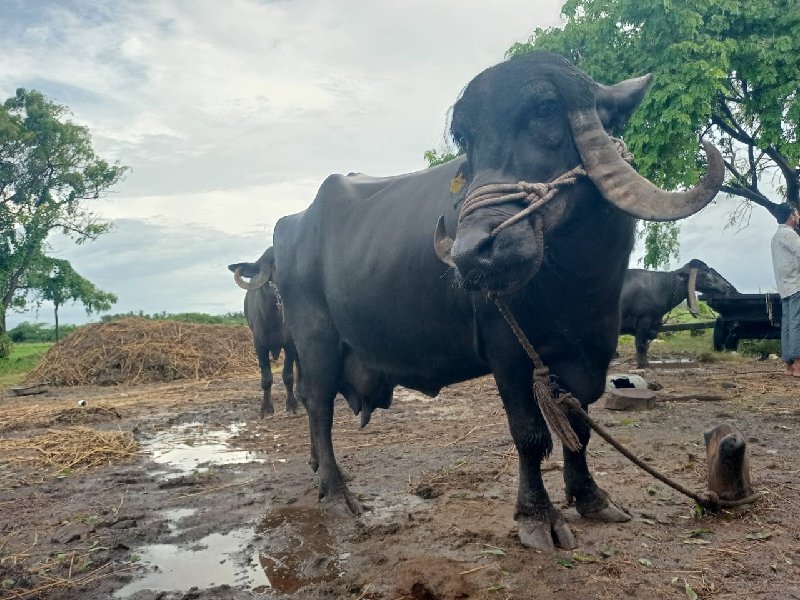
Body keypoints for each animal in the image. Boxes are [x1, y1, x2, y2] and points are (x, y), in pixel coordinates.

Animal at [227, 247, 302, 418]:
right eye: (272, 263)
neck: (273, 318)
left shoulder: (290, 344)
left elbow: (288, 375)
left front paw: (292, 405)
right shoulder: (259, 346)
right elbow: (266, 378)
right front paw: (266, 409)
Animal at [270, 50, 724, 548]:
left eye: (546, 109)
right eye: (466, 137)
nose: (472, 254)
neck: (575, 282)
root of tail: (290, 227)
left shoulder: (591, 349)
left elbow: (578, 428)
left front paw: (590, 497)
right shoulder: (507, 352)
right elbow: (530, 435)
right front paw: (537, 516)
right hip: (315, 339)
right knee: (318, 406)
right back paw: (335, 492)